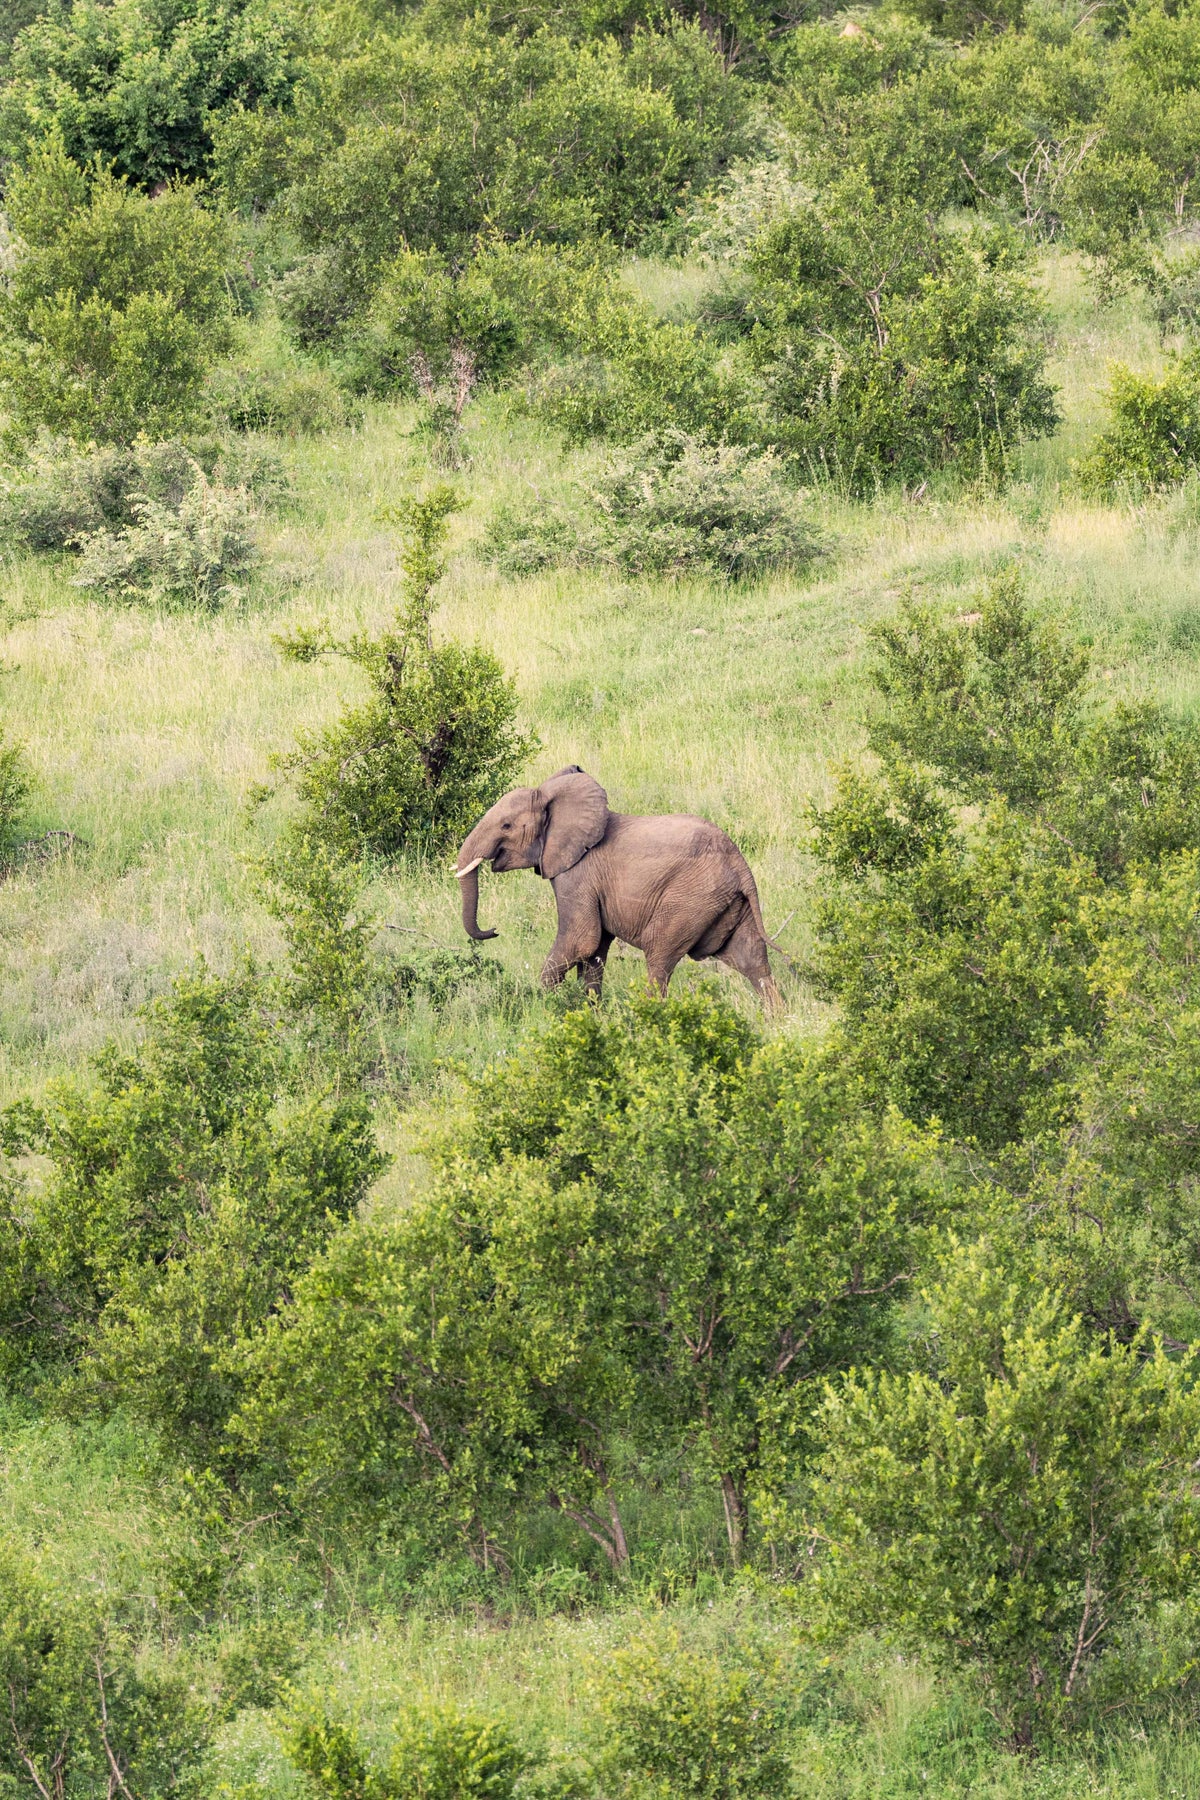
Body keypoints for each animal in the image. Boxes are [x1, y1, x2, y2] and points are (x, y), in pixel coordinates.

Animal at [454, 766, 782, 1008]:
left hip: (690, 900)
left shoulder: (577, 875)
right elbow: (594, 952)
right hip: (727, 902)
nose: (494, 930)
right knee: (752, 961)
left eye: (506, 826)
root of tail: (740, 866)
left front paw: (547, 1006)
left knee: (659, 958)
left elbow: (581, 940)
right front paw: (588, 1013)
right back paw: (776, 1020)